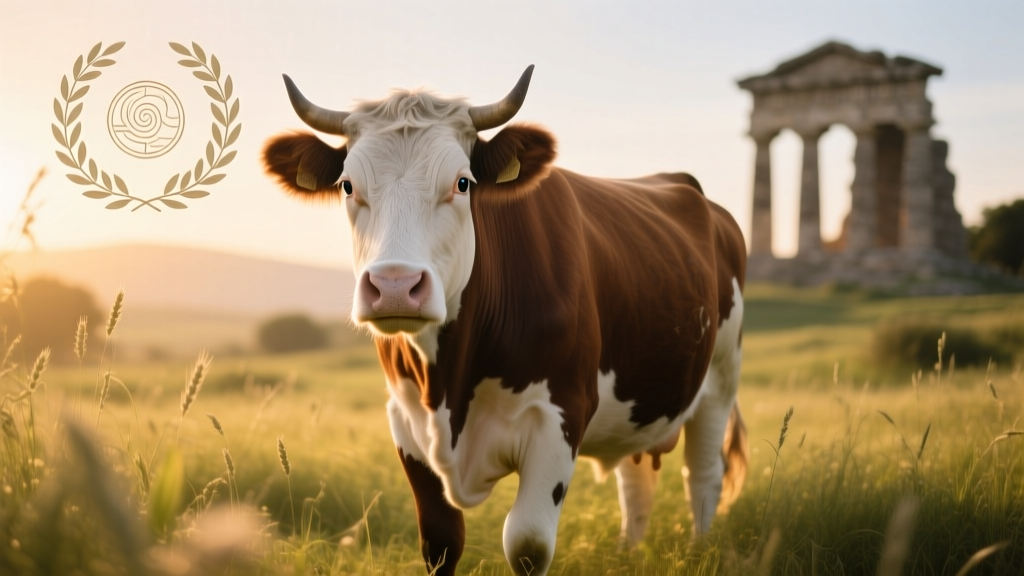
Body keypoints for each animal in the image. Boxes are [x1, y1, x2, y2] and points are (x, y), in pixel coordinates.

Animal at [263, 66, 748, 576]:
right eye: (348, 186)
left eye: (463, 183)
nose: (395, 284)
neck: (449, 390)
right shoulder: (406, 421)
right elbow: (440, 542)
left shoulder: (561, 413)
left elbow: (527, 542)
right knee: (636, 483)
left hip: (720, 380)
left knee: (703, 475)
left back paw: (697, 548)